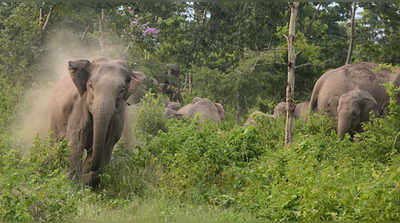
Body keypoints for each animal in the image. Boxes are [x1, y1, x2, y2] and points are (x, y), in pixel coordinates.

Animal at [49, 57, 145, 186]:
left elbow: (107, 146)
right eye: (90, 85)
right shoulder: (79, 107)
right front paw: (74, 184)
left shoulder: (117, 117)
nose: (87, 173)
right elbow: (76, 142)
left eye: (122, 90)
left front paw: (88, 180)